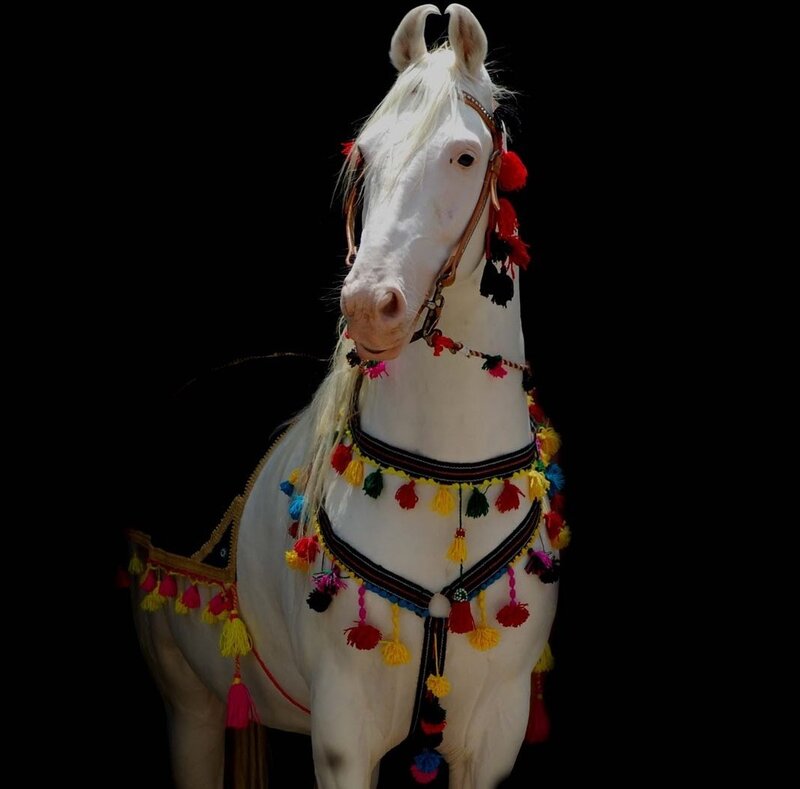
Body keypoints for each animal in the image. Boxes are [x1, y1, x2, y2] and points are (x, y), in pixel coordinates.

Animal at [129, 5, 566, 787]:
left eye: (463, 156)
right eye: (364, 154)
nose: (369, 306)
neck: (446, 486)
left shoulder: (493, 734)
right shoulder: (344, 735)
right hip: (188, 700)